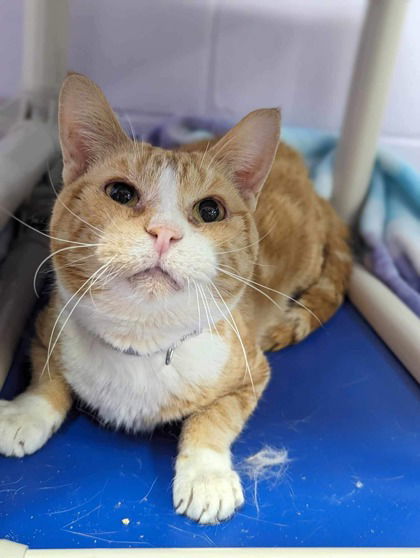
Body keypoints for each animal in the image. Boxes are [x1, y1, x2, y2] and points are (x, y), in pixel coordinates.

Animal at [0, 73, 350, 524]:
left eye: (211, 211)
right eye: (121, 193)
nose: (165, 233)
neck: (140, 342)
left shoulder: (251, 372)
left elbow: (215, 417)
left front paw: (206, 475)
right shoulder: (48, 327)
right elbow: (47, 374)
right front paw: (26, 412)